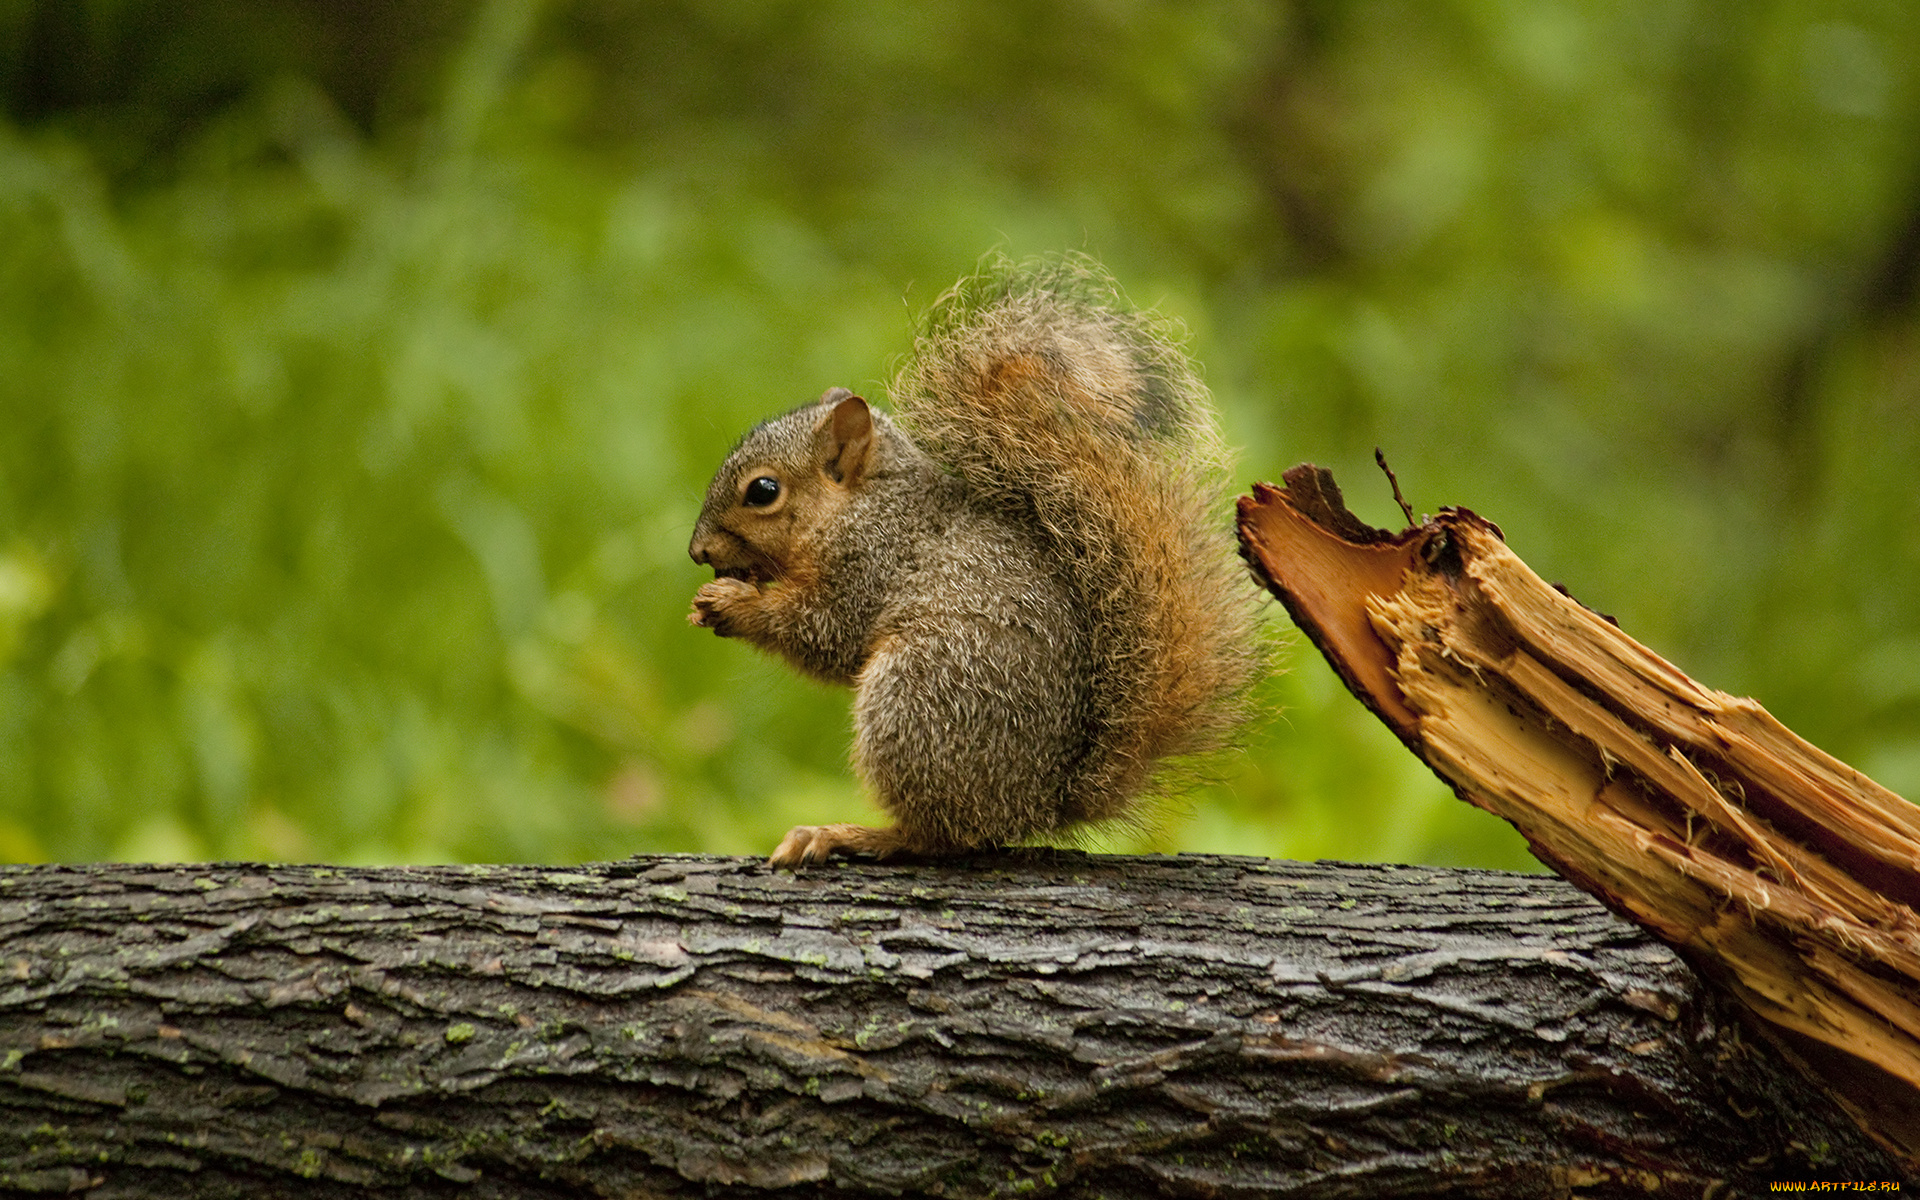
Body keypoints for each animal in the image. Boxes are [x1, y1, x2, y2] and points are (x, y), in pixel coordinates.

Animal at [687, 257, 1259, 864]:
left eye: (763, 491)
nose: (697, 551)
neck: (866, 503)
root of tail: (1037, 805)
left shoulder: (871, 564)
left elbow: (823, 631)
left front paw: (731, 603)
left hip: (916, 700)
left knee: (938, 835)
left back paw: (847, 834)